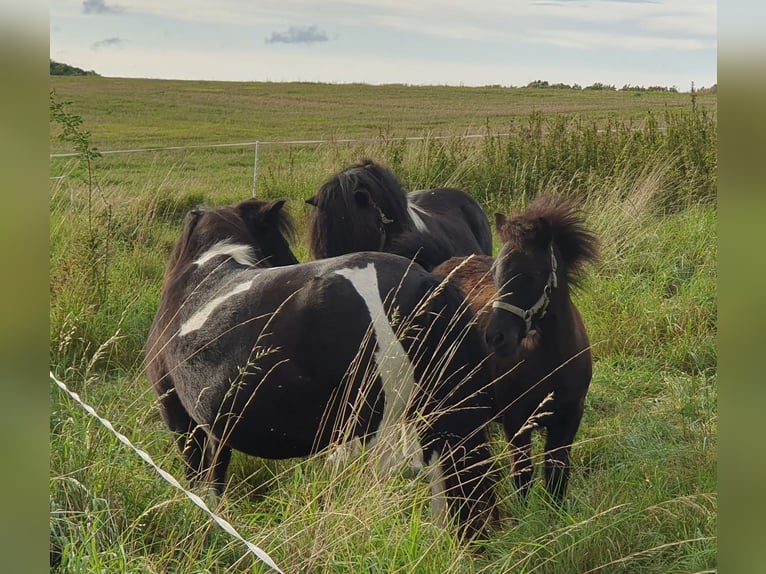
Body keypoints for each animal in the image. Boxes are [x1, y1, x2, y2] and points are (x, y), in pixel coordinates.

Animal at [147, 197, 500, 540]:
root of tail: (426, 283)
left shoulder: (179, 415)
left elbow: (199, 477)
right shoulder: (216, 426)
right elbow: (215, 475)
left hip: (381, 436)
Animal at [432, 197, 600, 504]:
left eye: (532, 275)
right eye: (496, 273)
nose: (496, 338)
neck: (550, 359)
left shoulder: (569, 417)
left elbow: (557, 474)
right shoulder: (515, 420)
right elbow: (523, 476)